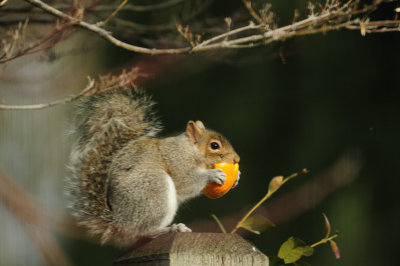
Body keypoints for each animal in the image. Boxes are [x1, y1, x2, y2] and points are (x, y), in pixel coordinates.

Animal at [66, 87, 241, 247]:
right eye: (214, 145)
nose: (236, 159)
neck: (190, 150)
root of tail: (119, 222)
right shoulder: (177, 161)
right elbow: (185, 182)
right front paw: (212, 175)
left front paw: (237, 178)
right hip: (154, 189)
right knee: (140, 231)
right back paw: (169, 229)